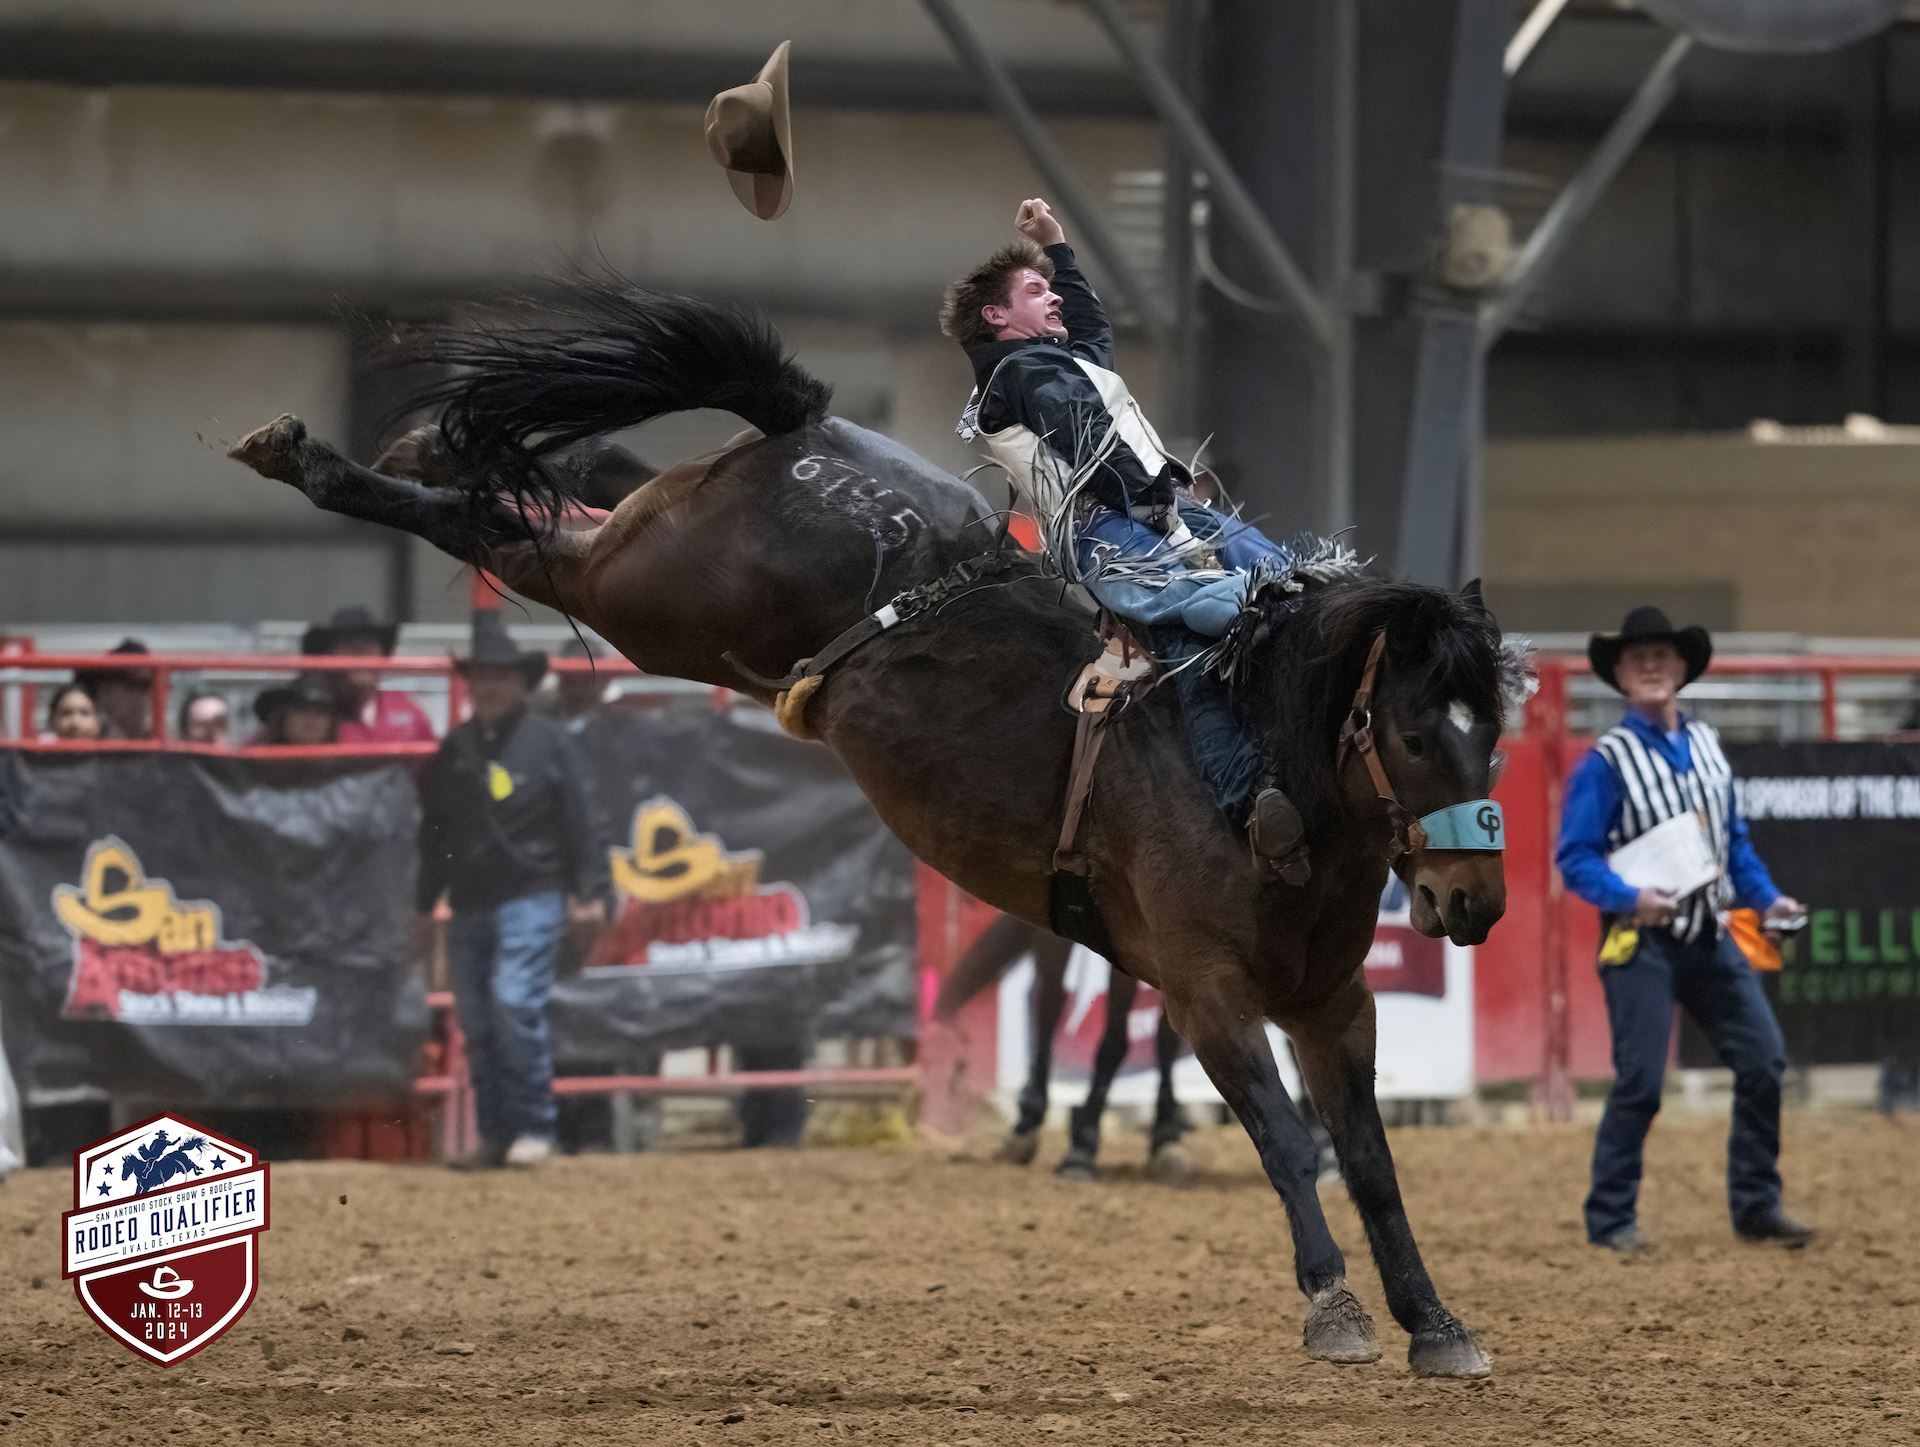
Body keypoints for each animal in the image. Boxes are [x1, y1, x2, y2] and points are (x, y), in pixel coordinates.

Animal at [227, 279, 1521, 1377]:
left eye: (1497, 729)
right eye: (1417, 733)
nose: (1474, 901)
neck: (1254, 765)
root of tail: (806, 436)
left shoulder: (1331, 1002)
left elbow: (1370, 1159)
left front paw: (1434, 1320)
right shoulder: (1211, 997)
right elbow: (1291, 1144)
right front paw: (1336, 1307)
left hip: (655, 568)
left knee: (559, 493)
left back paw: (415, 449)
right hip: (649, 597)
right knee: (507, 533)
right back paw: (315, 457)